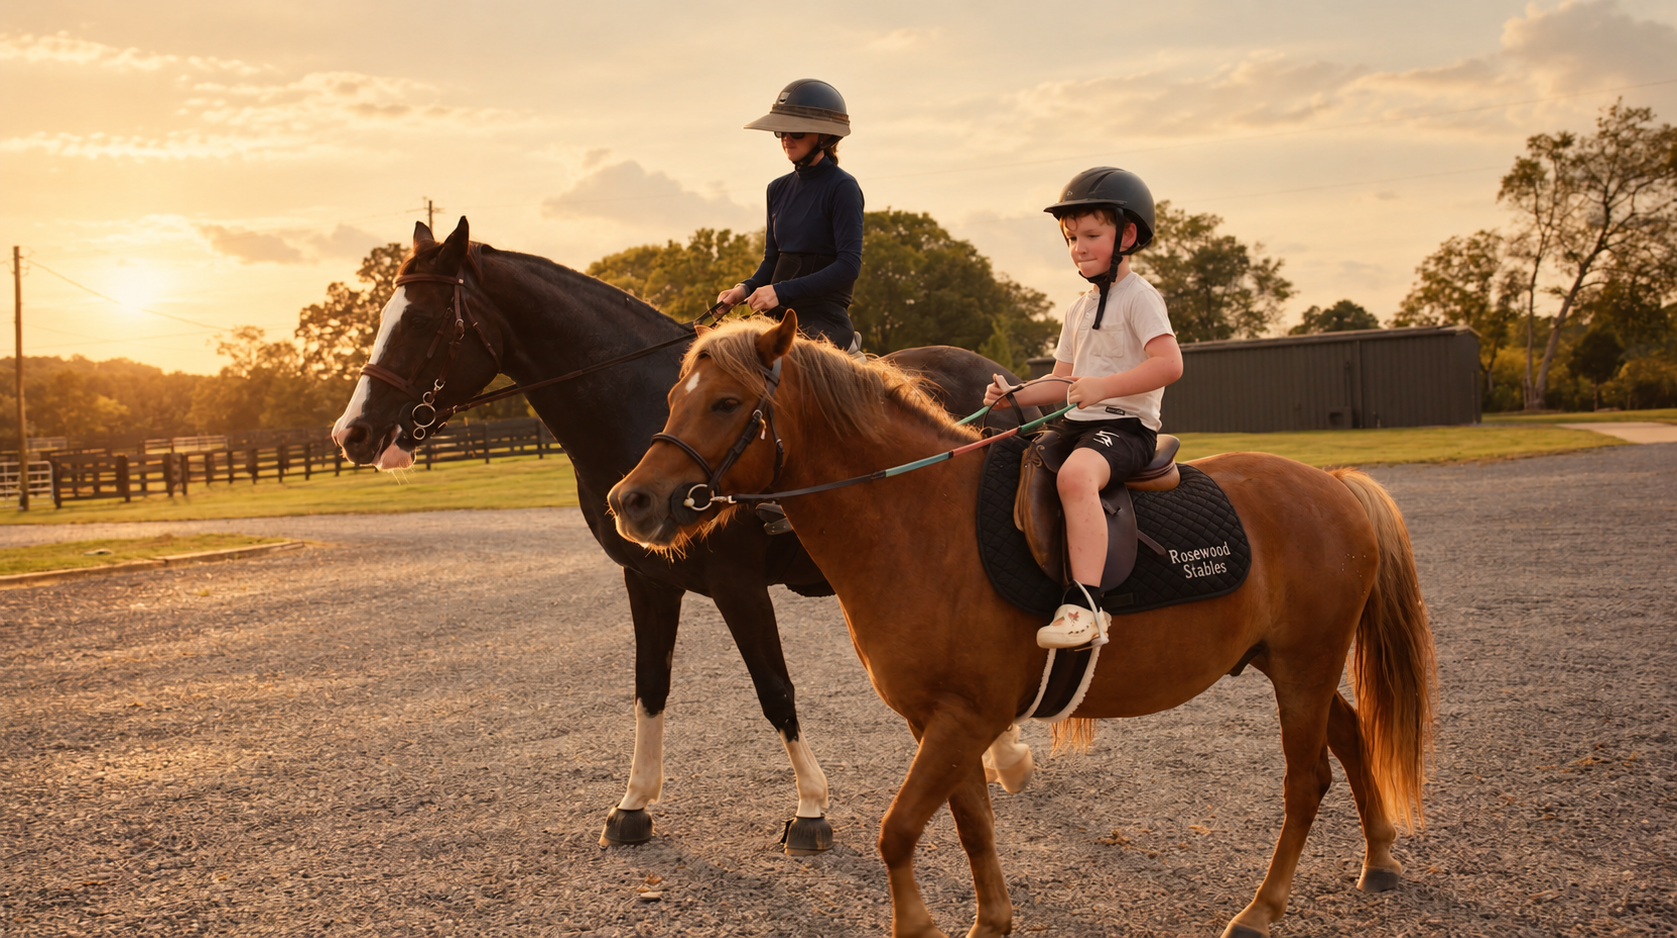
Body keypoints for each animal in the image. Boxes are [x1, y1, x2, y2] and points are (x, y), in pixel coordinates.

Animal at [330, 217, 1043, 854]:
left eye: (423, 321)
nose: (352, 433)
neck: (642, 408)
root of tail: (1002, 379)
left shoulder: (739, 587)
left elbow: (775, 689)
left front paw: (811, 809)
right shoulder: (647, 579)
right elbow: (650, 686)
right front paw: (634, 803)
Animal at [608, 314, 1439, 938]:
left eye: (723, 403)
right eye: (674, 397)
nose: (631, 501)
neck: (916, 521)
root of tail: (1331, 485)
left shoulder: (962, 717)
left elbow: (897, 830)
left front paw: (919, 926)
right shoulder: (942, 721)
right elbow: (970, 823)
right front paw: (990, 921)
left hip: (1303, 663)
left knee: (1306, 781)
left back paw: (1262, 910)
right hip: (1290, 661)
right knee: (1350, 735)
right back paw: (1379, 859)